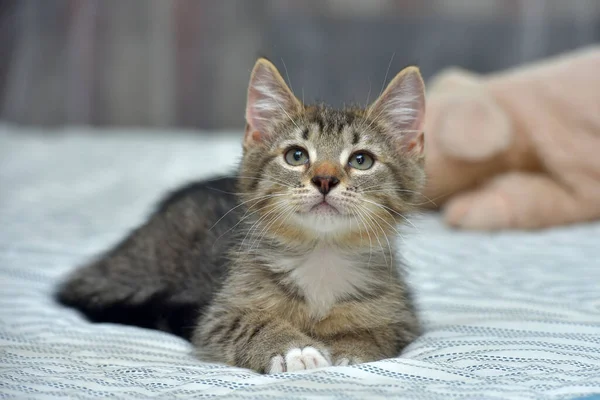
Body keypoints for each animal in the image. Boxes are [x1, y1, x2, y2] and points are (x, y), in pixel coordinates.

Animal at [57, 57, 426, 374]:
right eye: (296, 156)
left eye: (361, 160)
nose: (324, 179)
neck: (322, 256)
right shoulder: (217, 315)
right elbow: (246, 323)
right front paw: (294, 349)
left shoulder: (403, 318)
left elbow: (380, 333)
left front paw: (351, 348)